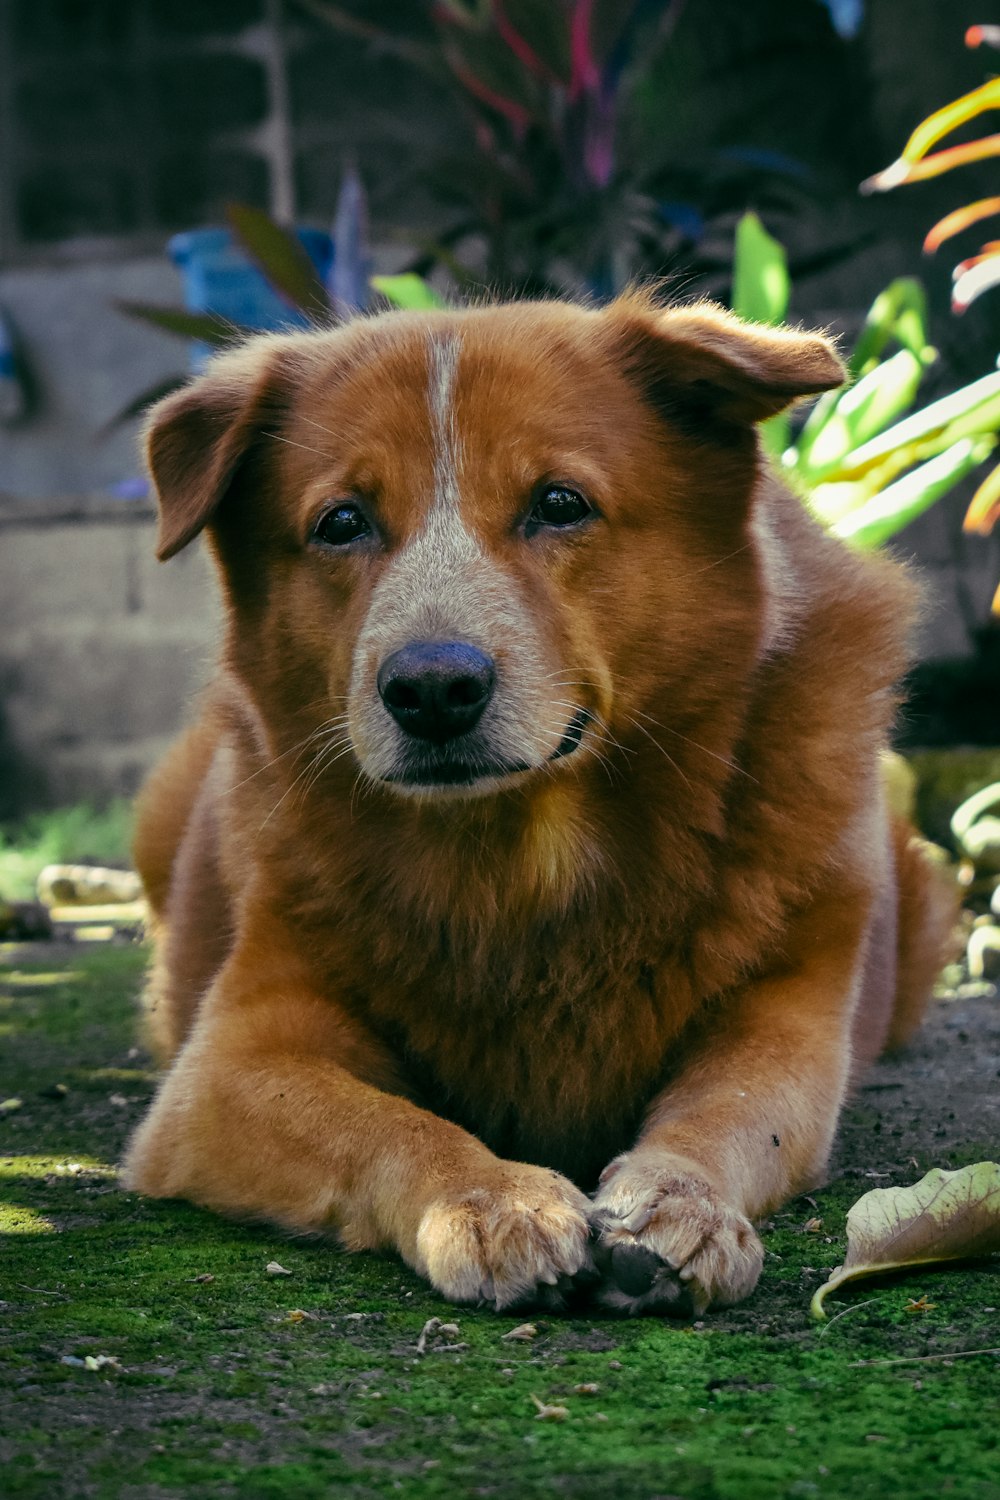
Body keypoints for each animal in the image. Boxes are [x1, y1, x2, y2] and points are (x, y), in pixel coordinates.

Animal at [121, 292, 959, 1314]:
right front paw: (490, 1197)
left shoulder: (789, 1024)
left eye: (559, 504)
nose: (432, 688)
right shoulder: (225, 1070)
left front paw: (678, 1199)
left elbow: (729, 1109)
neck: (523, 858)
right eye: (341, 522)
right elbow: (384, 1120)